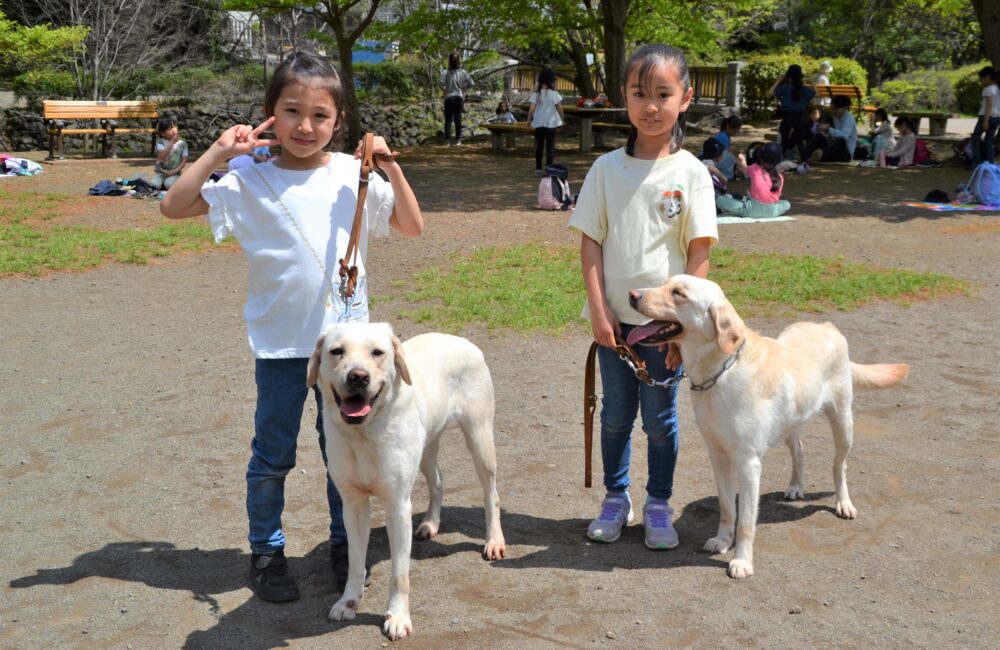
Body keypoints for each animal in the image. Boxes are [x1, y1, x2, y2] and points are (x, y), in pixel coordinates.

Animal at [306, 322, 508, 636]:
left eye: (377, 352)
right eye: (336, 351)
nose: (358, 376)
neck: (365, 434)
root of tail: (460, 340)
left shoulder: (398, 506)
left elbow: (399, 574)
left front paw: (398, 618)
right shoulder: (353, 504)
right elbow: (354, 562)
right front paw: (348, 603)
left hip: (479, 436)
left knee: (491, 494)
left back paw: (494, 540)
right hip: (427, 444)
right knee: (438, 480)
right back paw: (430, 524)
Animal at [628, 274, 912, 576]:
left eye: (678, 293)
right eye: (665, 283)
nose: (632, 295)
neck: (721, 370)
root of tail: (827, 326)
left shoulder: (749, 463)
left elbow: (745, 521)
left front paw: (742, 561)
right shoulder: (718, 456)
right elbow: (727, 508)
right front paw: (722, 541)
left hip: (843, 422)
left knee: (839, 467)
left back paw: (844, 503)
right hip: (790, 422)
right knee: (799, 450)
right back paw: (796, 486)